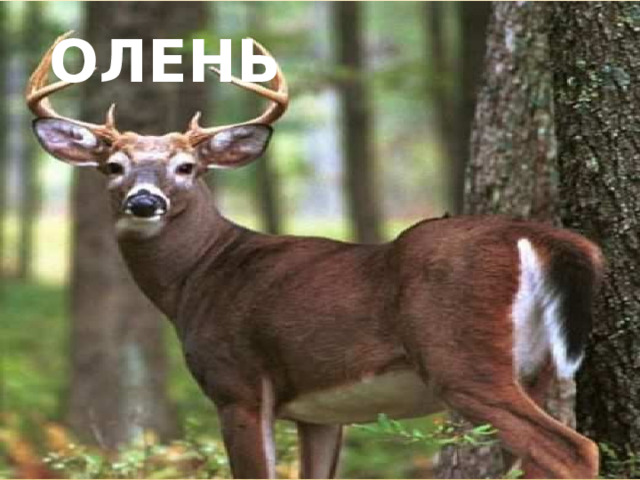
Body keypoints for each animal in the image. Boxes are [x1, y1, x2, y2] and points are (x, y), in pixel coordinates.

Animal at [27, 33, 602, 479]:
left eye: (187, 167)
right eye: (113, 167)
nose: (145, 201)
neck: (199, 276)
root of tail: (536, 237)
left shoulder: (237, 382)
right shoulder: (319, 413)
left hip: (462, 356)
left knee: (571, 449)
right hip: (538, 368)